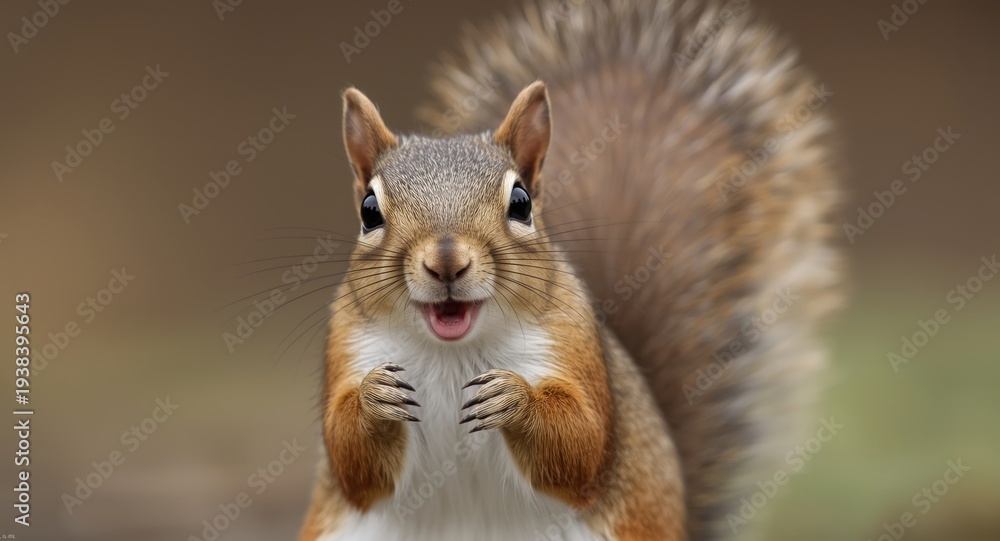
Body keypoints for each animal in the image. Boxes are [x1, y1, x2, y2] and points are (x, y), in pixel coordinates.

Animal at [300, 0, 840, 539]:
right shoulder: (348, 344)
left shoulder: (573, 340)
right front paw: (373, 398)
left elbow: (582, 443)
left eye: (521, 203)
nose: (447, 262)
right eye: (369, 210)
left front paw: (515, 399)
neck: (454, 352)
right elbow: (349, 459)